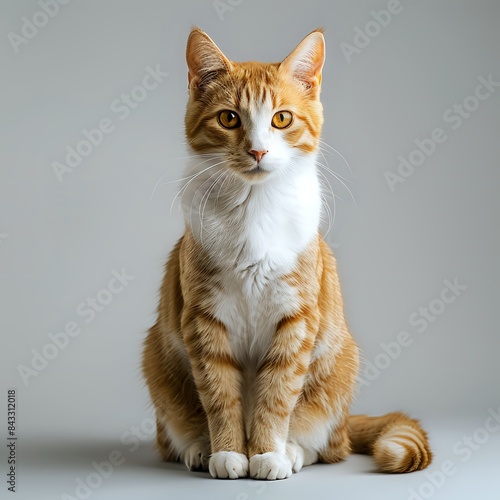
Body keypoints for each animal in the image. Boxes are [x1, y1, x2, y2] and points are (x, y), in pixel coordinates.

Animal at [143, 27, 432, 480]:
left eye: (281, 119)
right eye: (229, 118)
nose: (258, 151)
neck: (253, 209)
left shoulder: (296, 318)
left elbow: (277, 394)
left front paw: (267, 454)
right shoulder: (204, 320)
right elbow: (219, 394)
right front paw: (228, 452)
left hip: (338, 372)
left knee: (330, 446)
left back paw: (293, 451)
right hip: (158, 363)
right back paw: (199, 448)